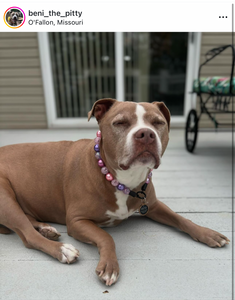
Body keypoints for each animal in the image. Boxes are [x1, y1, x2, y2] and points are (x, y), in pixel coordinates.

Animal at [0, 99, 229, 286]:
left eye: (158, 123)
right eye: (120, 123)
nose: (146, 134)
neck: (124, 180)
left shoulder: (153, 205)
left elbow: (182, 219)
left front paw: (207, 233)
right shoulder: (77, 221)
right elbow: (106, 236)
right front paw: (110, 265)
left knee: (28, 220)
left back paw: (46, 229)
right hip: (6, 197)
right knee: (28, 236)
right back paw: (62, 249)